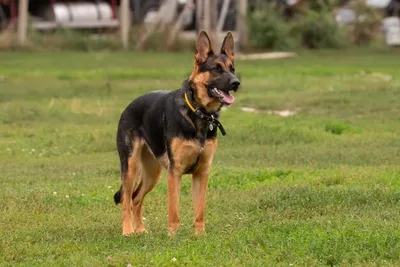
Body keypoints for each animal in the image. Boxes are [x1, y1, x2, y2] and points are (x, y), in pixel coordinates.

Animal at [113, 31, 241, 237]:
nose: (236, 83)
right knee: (126, 200)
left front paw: (200, 235)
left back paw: (140, 230)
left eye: (232, 69)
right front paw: (172, 236)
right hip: (131, 167)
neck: (199, 112)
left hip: (152, 174)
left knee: (136, 199)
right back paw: (128, 231)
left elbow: (199, 210)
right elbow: (174, 210)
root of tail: (129, 105)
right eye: (216, 69)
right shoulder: (175, 173)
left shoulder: (202, 173)